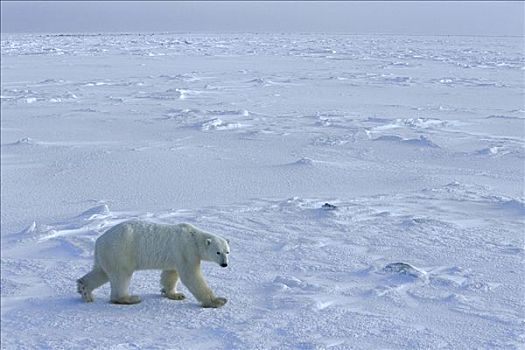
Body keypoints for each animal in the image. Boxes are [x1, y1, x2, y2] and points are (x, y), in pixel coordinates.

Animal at [76, 223, 229, 308]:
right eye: (218, 252)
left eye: (227, 251)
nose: (225, 264)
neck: (193, 238)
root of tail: (99, 241)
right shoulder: (186, 251)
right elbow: (191, 276)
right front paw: (218, 301)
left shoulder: (175, 256)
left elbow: (170, 274)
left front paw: (175, 294)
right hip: (121, 251)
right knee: (121, 275)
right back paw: (130, 298)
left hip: (107, 255)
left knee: (101, 272)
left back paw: (84, 290)